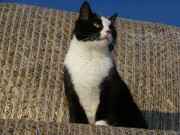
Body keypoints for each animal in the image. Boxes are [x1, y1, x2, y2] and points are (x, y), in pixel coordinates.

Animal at [63, 1, 148, 129]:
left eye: (112, 29)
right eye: (96, 24)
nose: (108, 32)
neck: (90, 57)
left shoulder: (111, 83)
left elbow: (107, 104)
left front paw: (101, 124)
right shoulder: (71, 87)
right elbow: (75, 108)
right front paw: (78, 123)